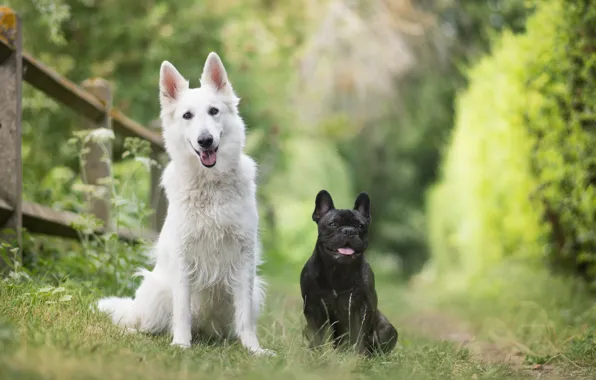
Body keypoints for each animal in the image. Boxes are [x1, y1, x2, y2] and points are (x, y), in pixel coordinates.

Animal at [97, 52, 272, 354]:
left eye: (214, 111)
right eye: (187, 115)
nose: (205, 141)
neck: (210, 186)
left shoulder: (244, 258)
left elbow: (245, 317)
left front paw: (253, 350)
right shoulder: (183, 258)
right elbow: (181, 311)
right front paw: (181, 344)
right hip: (155, 293)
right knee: (140, 322)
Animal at [300, 190, 398, 356]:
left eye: (360, 225)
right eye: (332, 224)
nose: (349, 231)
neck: (338, 269)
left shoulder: (363, 307)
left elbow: (359, 334)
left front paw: (357, 356)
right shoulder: (312, 306)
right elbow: (317, 334)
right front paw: (315, 354)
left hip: (386, 329)